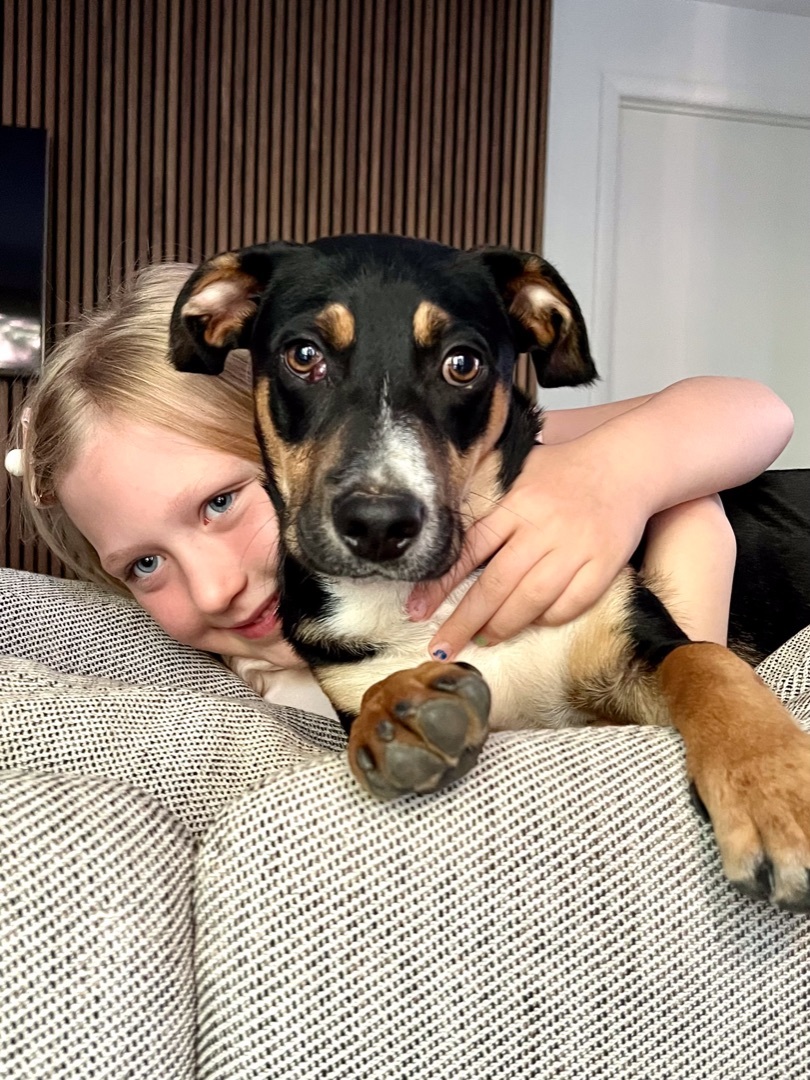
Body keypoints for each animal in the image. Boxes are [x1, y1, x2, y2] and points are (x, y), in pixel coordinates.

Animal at [169, 234, 810, 912]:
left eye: (462, 364)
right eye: (303, 355)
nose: (377, 524)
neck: (442, 594)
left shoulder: (631, 658)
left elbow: (706, 663)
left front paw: (771, 787)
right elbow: (374, 689)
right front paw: (400, 712)